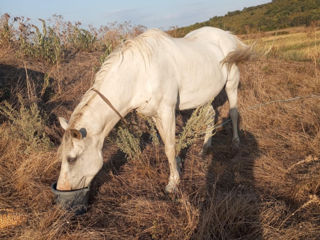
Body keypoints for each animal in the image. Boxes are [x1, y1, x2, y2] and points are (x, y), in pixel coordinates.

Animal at [56, 26, 254, 193]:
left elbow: (169, 147)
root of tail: (226, 34)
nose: (62, 188)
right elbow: (167, 143)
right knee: (211, 115)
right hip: (204, 93)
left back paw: (235, 143)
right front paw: (178, 166)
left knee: (233, 112)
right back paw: (205, 148)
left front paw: (173, 183)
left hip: (231, 83)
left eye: (71, 158)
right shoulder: (154, 115)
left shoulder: (167, 111)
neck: (139, 75)